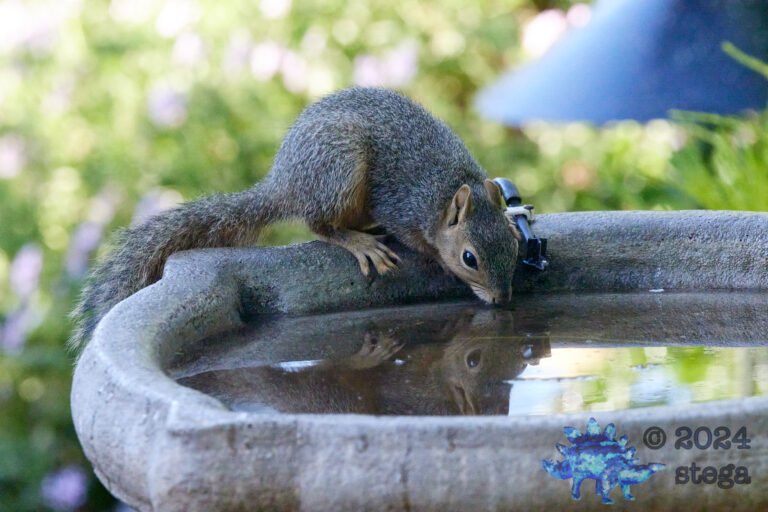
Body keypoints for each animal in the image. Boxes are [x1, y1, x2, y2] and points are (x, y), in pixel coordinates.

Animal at [70, 87, 520, 350]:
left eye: (515, 246)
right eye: (469, 259)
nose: (502, 299)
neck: (448, 189)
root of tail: (284, 182)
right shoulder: (401, 204)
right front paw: (434, 260)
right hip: (338, 169)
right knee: (319, 224)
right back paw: (360, 241)